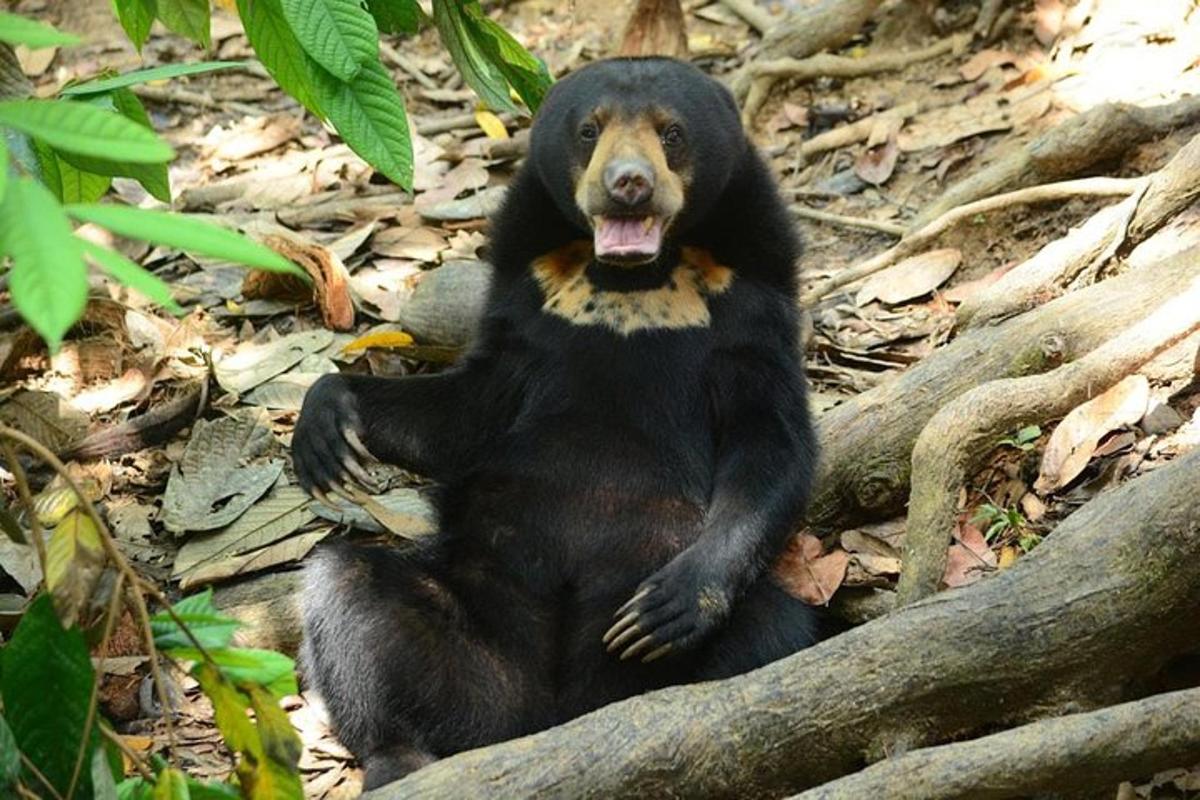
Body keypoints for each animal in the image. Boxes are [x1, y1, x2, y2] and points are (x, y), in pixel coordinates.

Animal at [295, 56, 830, 786]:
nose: (628, 184)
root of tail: (553, 710)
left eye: (671, 132)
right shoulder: (530, 301)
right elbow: (465, 412)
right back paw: (396, 761)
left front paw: (671, 603)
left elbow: (772, 448)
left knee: (774, 633)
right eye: (588, 130)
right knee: (347, 593)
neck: (633, 283)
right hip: (477, 632)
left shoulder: (753, 311)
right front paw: (327, 429)